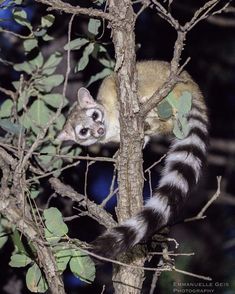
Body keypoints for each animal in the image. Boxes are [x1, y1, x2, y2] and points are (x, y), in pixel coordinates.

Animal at [57, 60, 208, 258]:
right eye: (83, 131)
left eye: (95, 115)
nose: (99, 130)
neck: (110, 123)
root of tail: (193, 88)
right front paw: (136, 142)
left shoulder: (108, 89)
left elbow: (113, 79)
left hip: (166, 81)